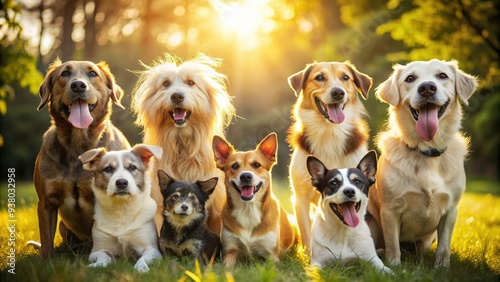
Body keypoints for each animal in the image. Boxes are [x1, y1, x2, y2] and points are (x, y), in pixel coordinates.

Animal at [34, 59, 130, 258]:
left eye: (93, 73)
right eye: (64, 73)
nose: (78, 85)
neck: (78, 147)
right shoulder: (46, 202)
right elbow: (46, 241)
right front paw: (46, 261)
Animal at [79, 144, 163, 272]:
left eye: (133, 167)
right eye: (108, 169)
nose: (122, 182)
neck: (122, 209)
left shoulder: (152, 249)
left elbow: (142, 259)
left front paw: (141, 268)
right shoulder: (97, 250)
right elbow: (104, 257)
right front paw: (98, 265)